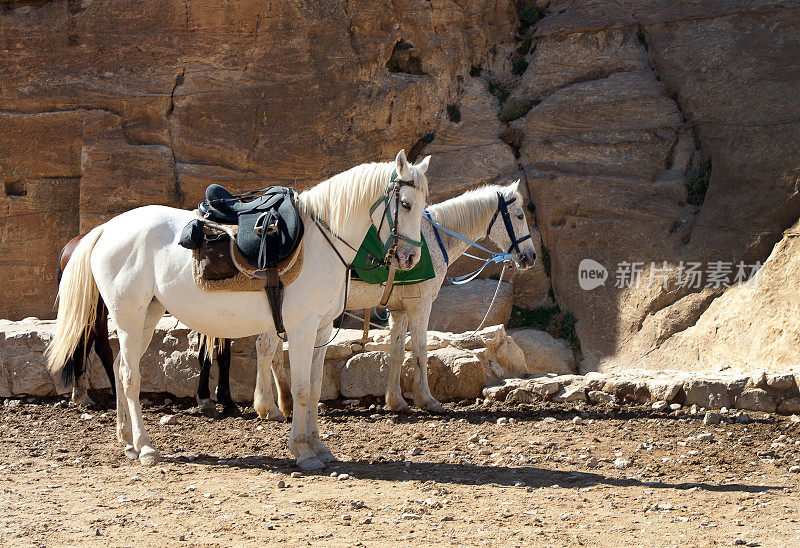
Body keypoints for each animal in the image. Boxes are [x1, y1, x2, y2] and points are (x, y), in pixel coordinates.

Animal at [45, 152, 432, 468]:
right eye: (406, 204)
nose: (411, 257)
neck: (322, 241)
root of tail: (105, 229)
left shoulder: (321, 330)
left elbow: (315, 387)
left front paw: (319, 447)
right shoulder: (302, 328)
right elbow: (301, 388)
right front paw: (302, 451)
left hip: (147, 315)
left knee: (122, 367)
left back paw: (127, 440)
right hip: (128, 315)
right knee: (128, 376)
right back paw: (145, 446)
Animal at [253, 181, 536, 420]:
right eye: (520, 215)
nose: (531, 256)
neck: (434, 239)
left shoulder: (399, 310)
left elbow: (397, 352)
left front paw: (396, 401)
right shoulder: (420, 305)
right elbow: (420, 351)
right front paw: (427, 400)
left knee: (275, 354)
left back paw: (286, 403)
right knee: (265, 348)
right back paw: (268, 407)